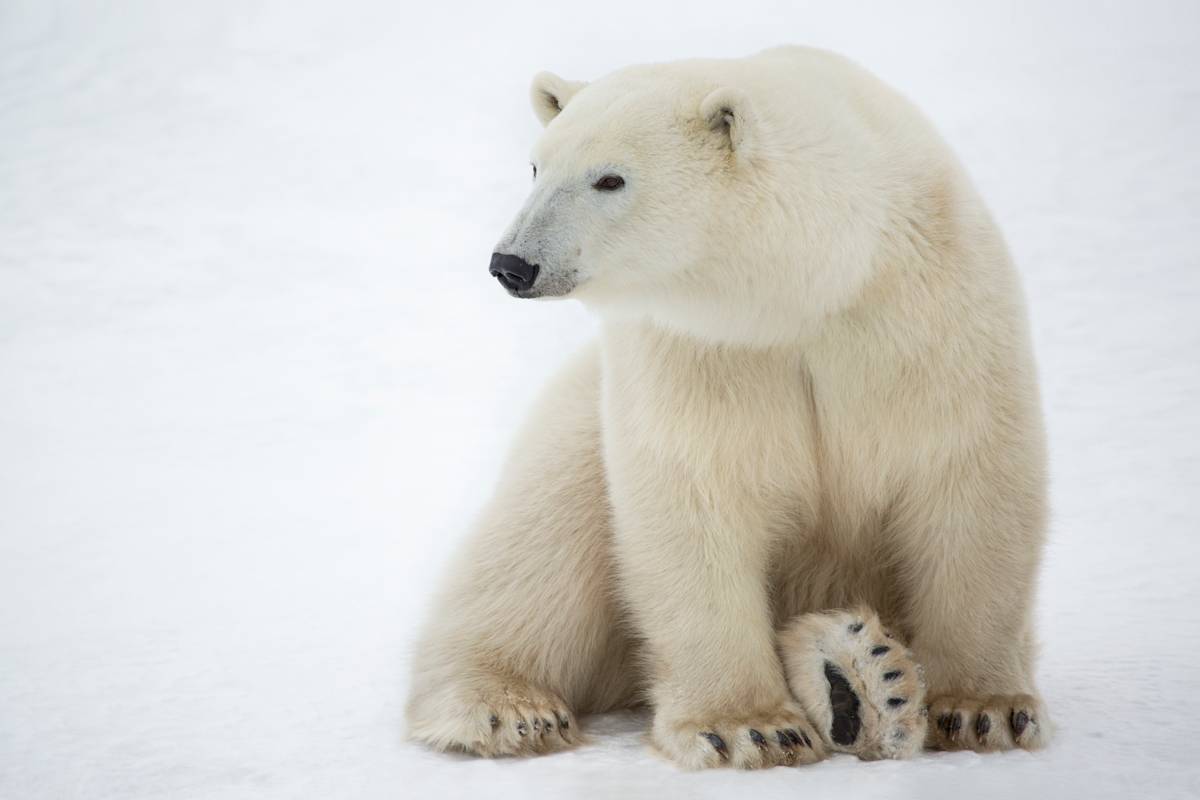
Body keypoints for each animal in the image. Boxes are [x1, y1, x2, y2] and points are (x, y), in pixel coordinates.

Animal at [405, 45, 1049, 769]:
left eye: (611, 178)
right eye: (537, 166)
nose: (511, 264)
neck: (819, 282)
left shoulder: (933, 316)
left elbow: (969, 483)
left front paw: (983, 709)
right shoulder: (701, 351)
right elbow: (697, 496)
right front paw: (749, 727)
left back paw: (863, 679)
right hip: (578, 419)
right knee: (543, 538)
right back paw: (511, 707)